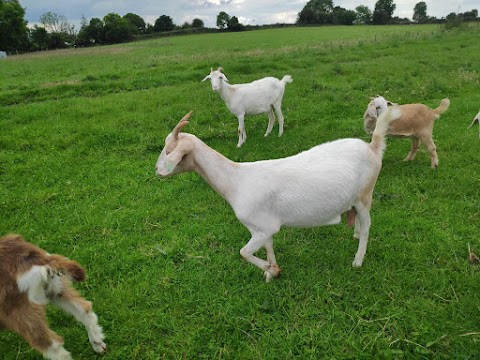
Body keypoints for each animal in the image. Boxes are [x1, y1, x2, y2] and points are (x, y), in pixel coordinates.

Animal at [157, 108, 402, 282]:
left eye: (169, 150)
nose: (157, 170)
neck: (236, 180)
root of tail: (372, 147)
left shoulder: (262, 228)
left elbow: (243, 252)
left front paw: (271, 270)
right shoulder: (262, 227)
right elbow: (269, 248)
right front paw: (271, 271)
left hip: (365, 193)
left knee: (368, 224)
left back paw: (358, 260)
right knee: (359, 220)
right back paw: (355, 235)